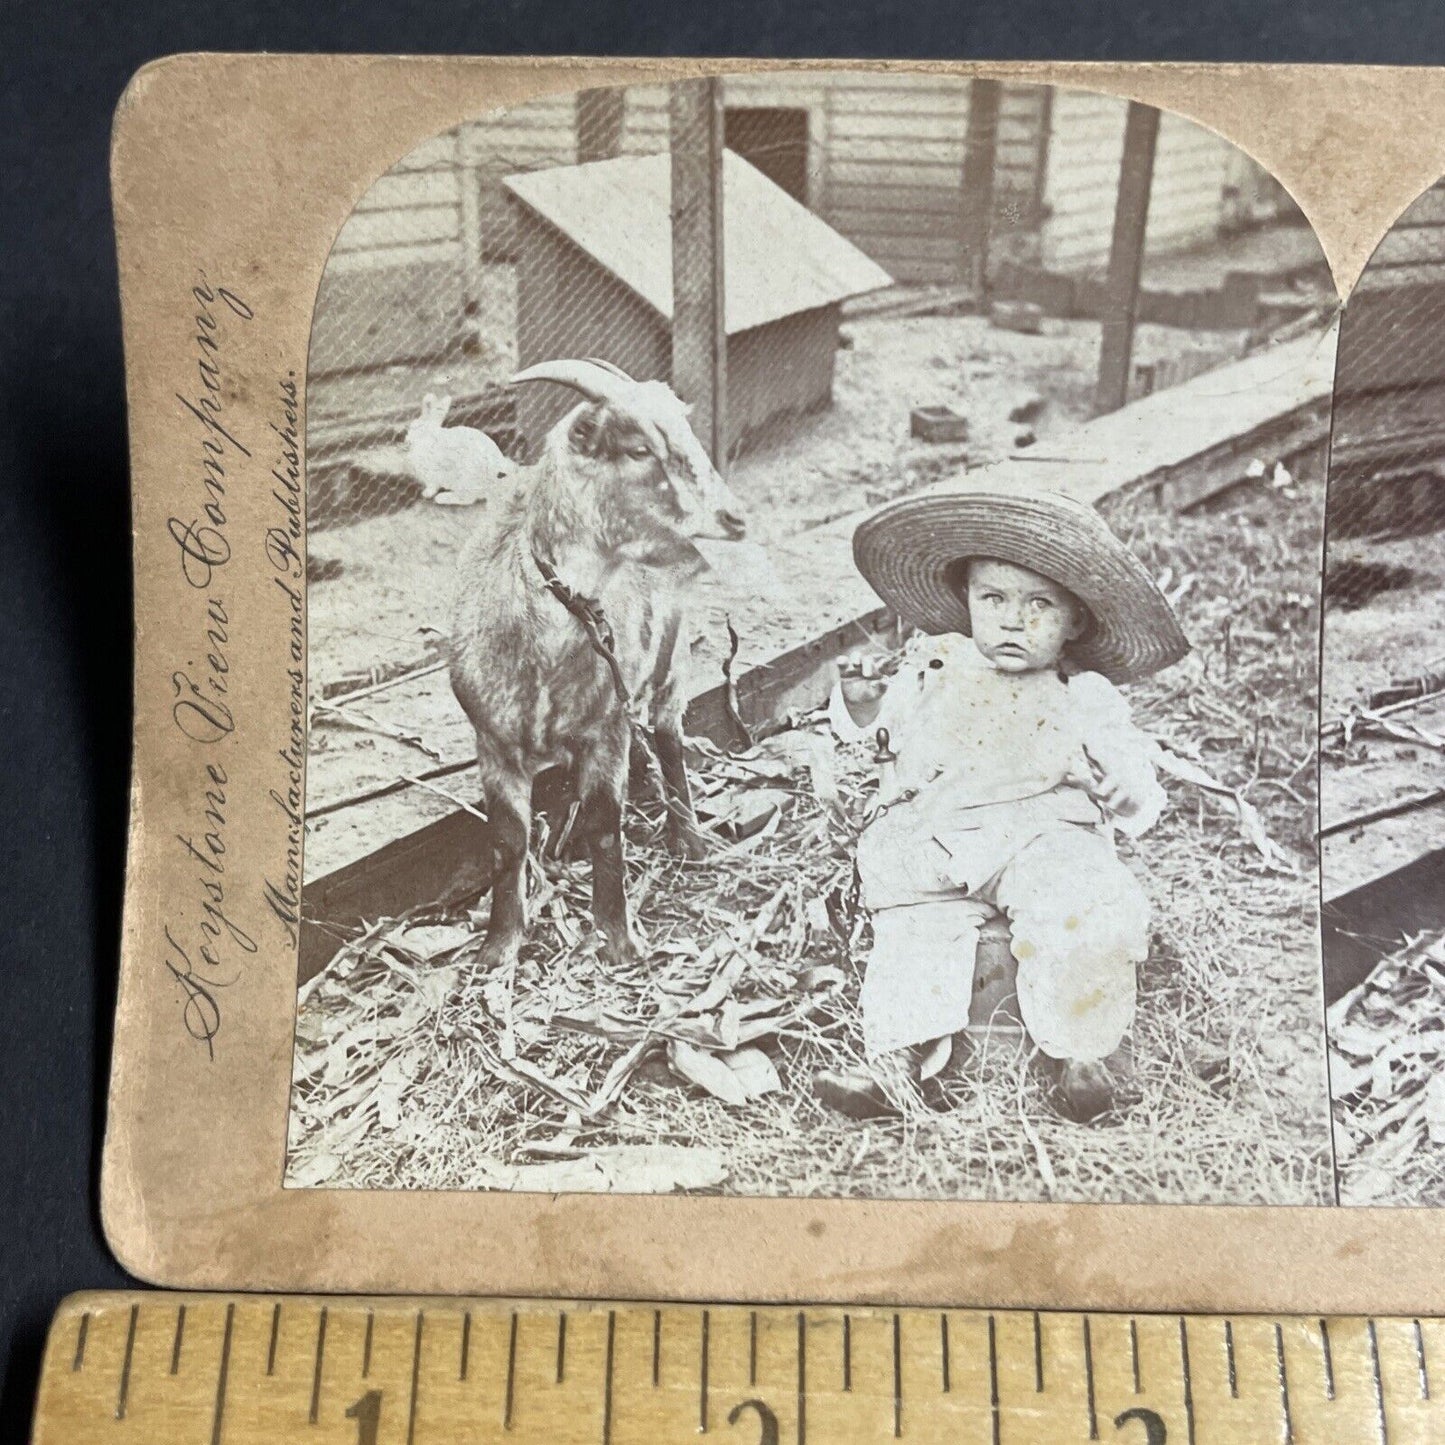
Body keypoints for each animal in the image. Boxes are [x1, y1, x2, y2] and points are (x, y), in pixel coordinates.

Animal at [447, 361, 745, 971]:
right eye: (638, 448)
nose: (735, 517)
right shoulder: (492, 744)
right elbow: (506, 840)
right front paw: (499, 947)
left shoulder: (606, 729)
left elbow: (607, 827)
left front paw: (618, 939)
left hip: (671, 660)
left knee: (669, 737)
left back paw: (690, 840)